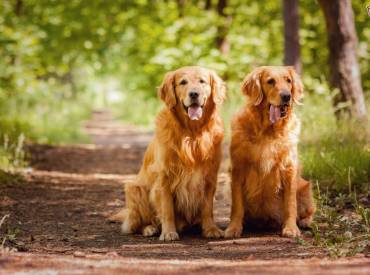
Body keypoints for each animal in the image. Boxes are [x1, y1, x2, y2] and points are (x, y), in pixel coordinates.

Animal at [110, 66, 225, 242]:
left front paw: (211, 229)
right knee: (137, 224)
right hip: (134, 189)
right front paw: (169, 232)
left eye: (202, 81)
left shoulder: (210, 176)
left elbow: (208, 208)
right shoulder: (164, 177)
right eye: (183, 82)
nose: (194, 94)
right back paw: (149, 228)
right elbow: (167, 209)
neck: (192, 133)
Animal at [224, 66, 314, 238]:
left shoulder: (289, 169)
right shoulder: (238, 169)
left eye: (288, 80)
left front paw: (291, 228)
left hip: (305, 188)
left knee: (309, 211)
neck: (268, 130)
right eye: (270, 81)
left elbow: (290, 204)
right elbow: (237, 205)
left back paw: (305, 222)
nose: (287, 96)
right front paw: (233, 228)